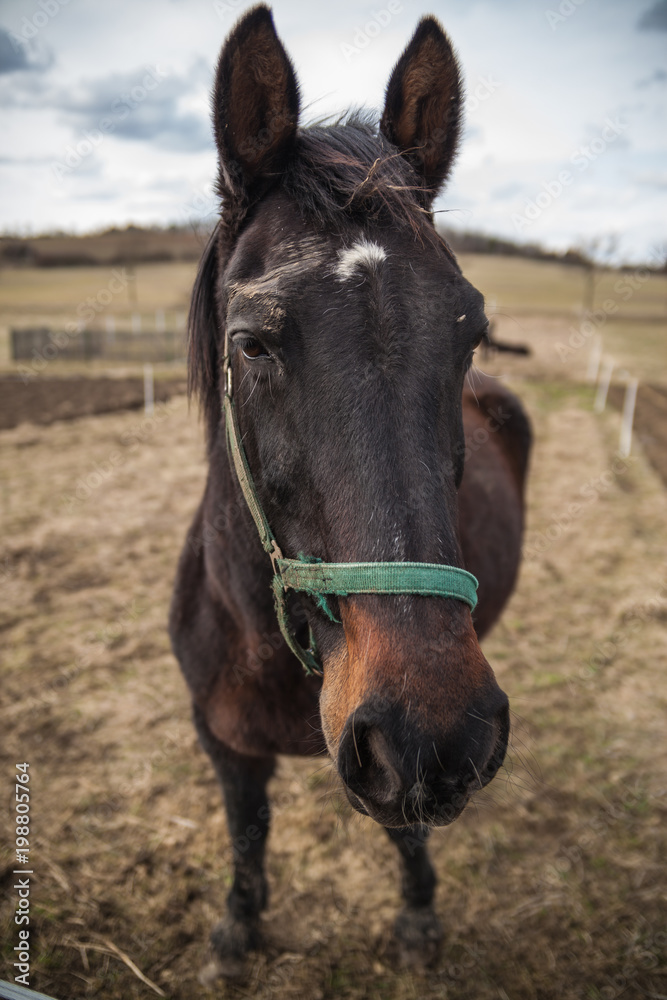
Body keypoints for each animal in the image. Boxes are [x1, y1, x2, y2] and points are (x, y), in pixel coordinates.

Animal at [168, 5, 532, 976]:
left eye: (469, 332)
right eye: (252, 341)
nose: (432, 733)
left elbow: (407, 831)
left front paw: (416, 913)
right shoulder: (221, 747)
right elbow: (246, 831)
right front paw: (238, 927)